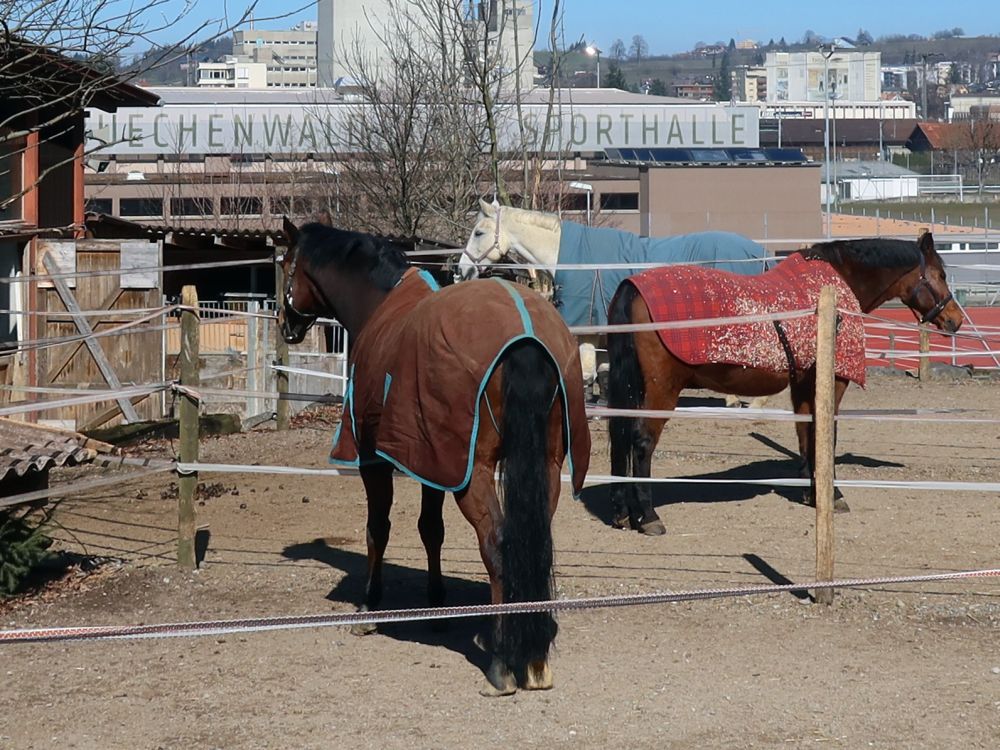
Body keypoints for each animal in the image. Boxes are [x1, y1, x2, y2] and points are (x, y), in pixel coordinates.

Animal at [278, 219, 588, 700]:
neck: (380, 303)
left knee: (498, 544)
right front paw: (437, 604)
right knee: (531, 541)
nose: (285, 323)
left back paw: (503, 663)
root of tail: (526, 335)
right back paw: (534, 658)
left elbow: (378, 528)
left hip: (476, 475)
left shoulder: (374, 460)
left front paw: (370, 605)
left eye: (286, 264)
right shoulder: (434, 458)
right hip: (547, 468)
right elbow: (430, 530)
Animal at [460, 200, 772, 408]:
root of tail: (761, 252)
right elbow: (603, 371)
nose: (462, 269)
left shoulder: (587, 326)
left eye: (478, 233)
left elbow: (586, 371)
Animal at [604, 232, 964, 536]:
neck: (833, 291)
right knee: (642, 442)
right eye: (940, 275)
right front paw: (833, 495)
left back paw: (622, 513)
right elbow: (826, 436)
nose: (955, 320)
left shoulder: (803, 385)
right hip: (661, 390)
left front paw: (811, 494)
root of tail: (630, 287)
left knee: (622, 438)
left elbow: (807, 436)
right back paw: (648, 517)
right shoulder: (833, 383)